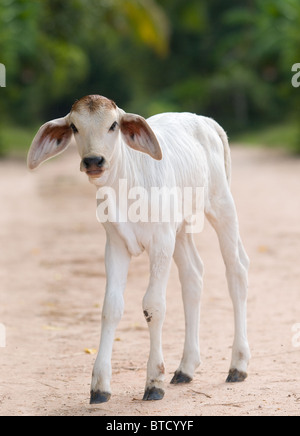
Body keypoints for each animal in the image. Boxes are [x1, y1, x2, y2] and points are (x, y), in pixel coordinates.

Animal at [27, 94, 251, 402]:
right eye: (74, 127)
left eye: (113, 125)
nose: (93, 160)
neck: (125, 188)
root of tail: (206, 122)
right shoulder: (115, 245)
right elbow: (111, 308)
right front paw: (99, 386)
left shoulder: (161, 242)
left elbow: (153, 306)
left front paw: (154, 381)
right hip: (180, 229)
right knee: (193, 277)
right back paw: (186, 368)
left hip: (221, 205)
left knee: (236, 271)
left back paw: (238, 365)